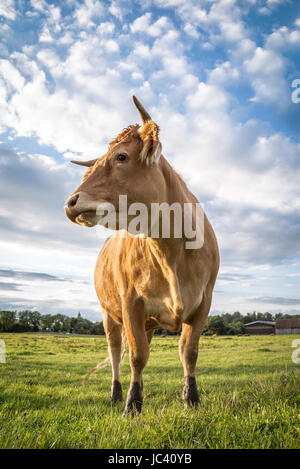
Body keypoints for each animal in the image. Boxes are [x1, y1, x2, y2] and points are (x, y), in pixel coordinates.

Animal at [65, 97, 220, 414]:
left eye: (121, 157)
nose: (70, 202)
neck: (171, 252)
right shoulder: (130, 302)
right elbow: (136, 356)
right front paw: (132, 405)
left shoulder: (204, 302)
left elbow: (189, 352)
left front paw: (191, 399)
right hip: (109, 315)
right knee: (116, 353)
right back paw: (116, 394)